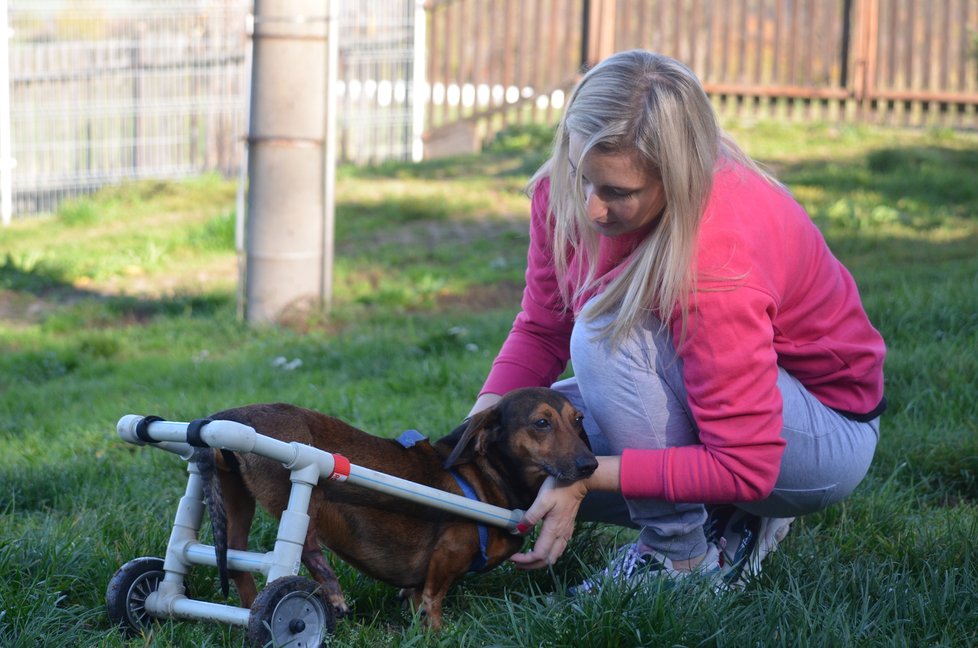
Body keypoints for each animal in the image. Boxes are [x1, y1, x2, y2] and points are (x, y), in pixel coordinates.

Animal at [193, 388, 596, 632]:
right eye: (541, 423)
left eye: (578, 420)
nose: (590, 465)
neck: (485, 478)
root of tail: (227, 417)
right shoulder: (447, 553)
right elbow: (433, 599)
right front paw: (437, 633)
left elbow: (417, 595)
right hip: (300, 490)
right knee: (305, 548)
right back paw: (330, 593)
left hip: (236, 496)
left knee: (238, 561)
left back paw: (248, 612)